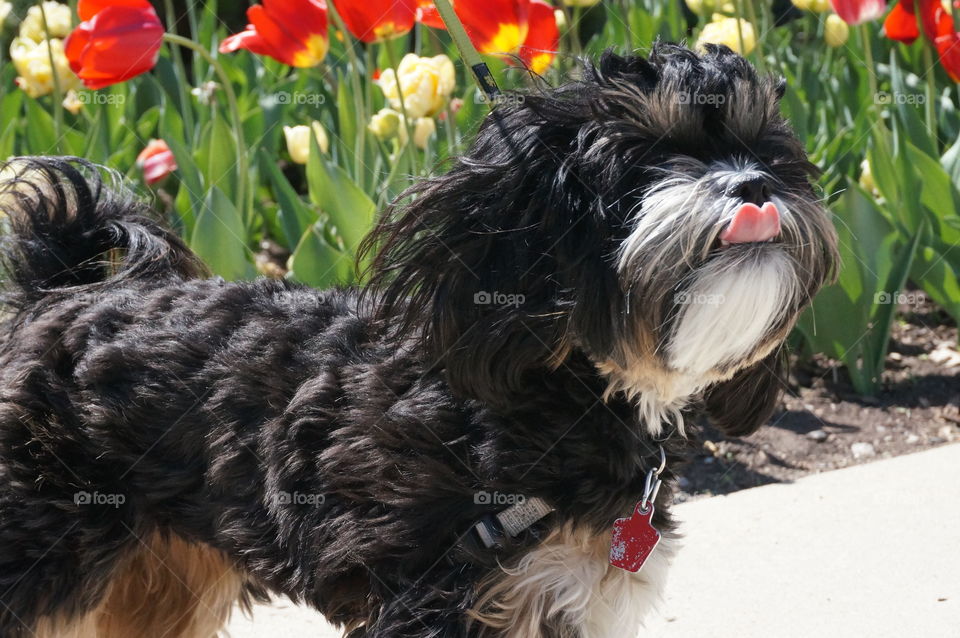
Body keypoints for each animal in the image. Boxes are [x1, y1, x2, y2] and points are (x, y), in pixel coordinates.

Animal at [0, 46, 836, 638]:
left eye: (771, 154)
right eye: (645, 160)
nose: (754, 186)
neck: (557, 394)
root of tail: (53, 294)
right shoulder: (433, 598)